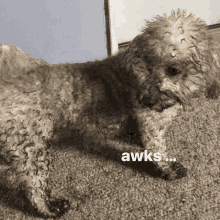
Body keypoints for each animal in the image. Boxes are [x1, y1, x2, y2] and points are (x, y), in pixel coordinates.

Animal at [0, 8, 220, 217]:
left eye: (173, 70)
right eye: (147, 66)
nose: (146, 100)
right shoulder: (151, 125)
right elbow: (158, 151)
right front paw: (169, 170)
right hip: (31, 145)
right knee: (33, 185)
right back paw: (50, 207)